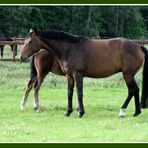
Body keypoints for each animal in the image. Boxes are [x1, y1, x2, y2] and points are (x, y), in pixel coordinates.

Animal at [20, 28, 148, 118]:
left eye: (30, 41)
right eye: (25, 41)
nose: (22, 57)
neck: (70, 48)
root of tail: (138, 46)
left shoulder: (78, 75)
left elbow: (79, 93)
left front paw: (81, 112)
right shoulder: (69, 76)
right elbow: (70, 93)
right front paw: (68, 112)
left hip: (127, 75)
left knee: (131, 91)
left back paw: (122, 111)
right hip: (130, 75)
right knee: (136, 90)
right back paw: (136, 112)